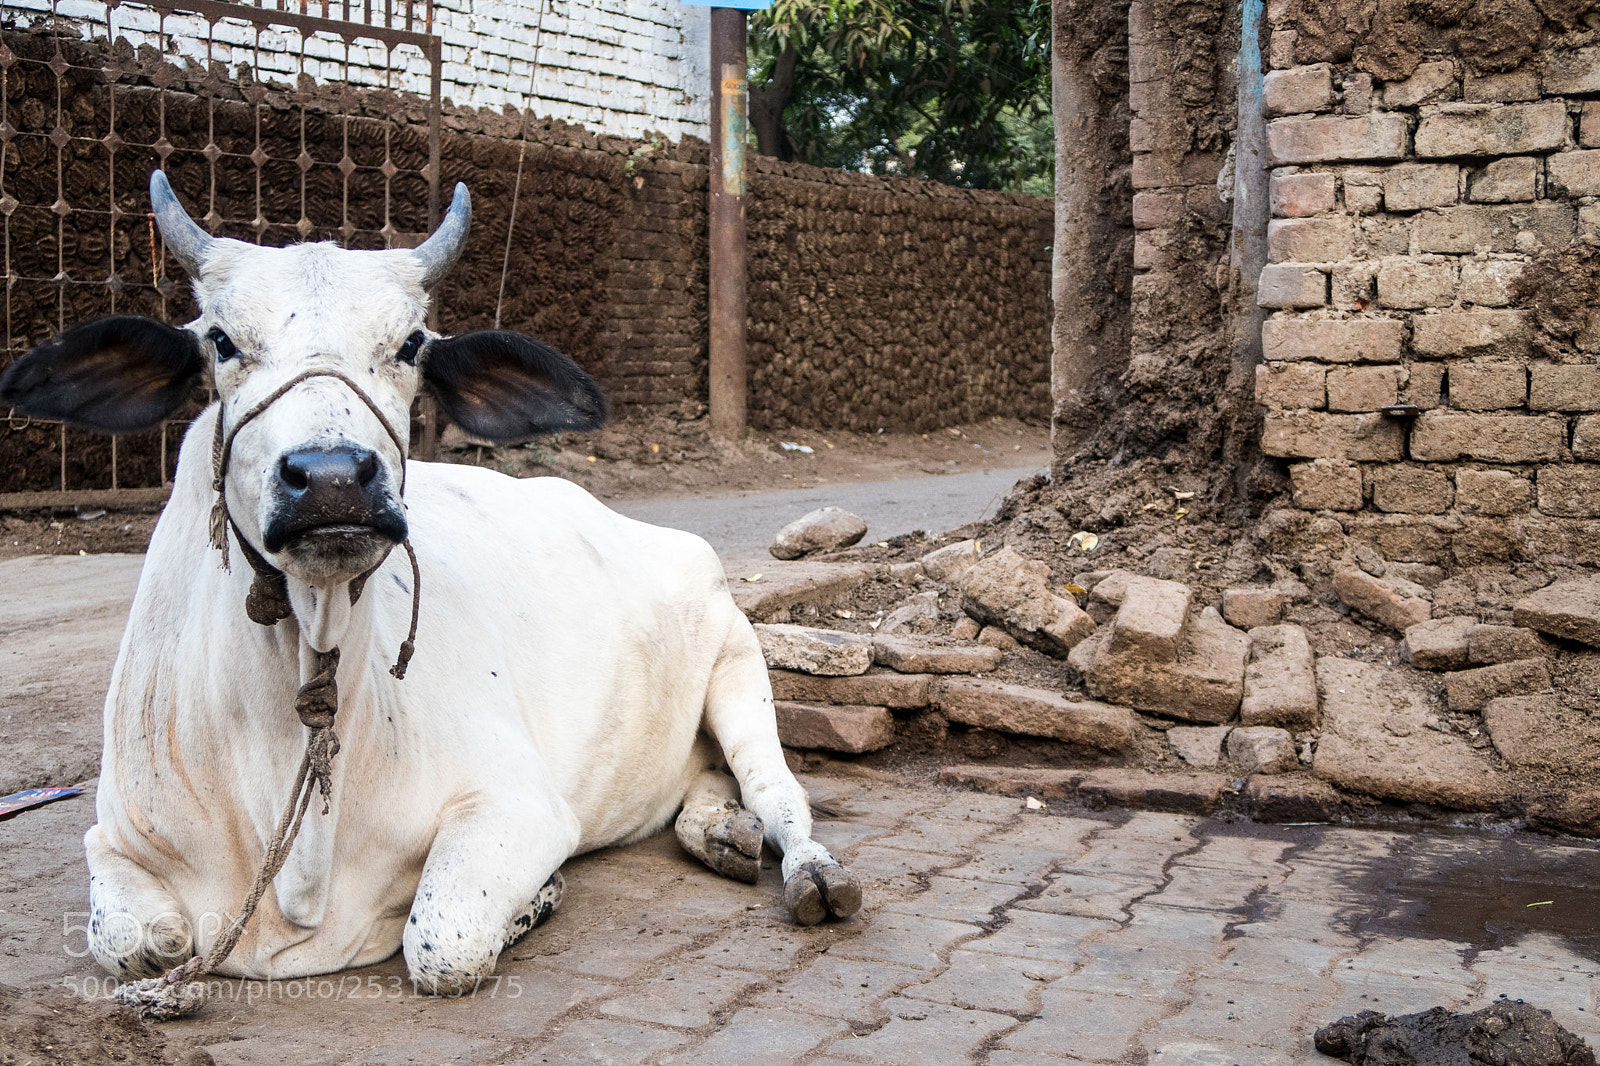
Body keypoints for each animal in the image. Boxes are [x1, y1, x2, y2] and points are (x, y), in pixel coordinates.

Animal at [0, 171, 861, 996]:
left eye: (410, 343)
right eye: (220, 340)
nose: (332, 479)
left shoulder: (516, 804)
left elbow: (441, 942)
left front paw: (540, 897)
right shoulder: (113, 836)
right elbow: (135, 942)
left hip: (738, 665)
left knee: (777, 793)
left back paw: (808, 870)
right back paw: (718, 833)